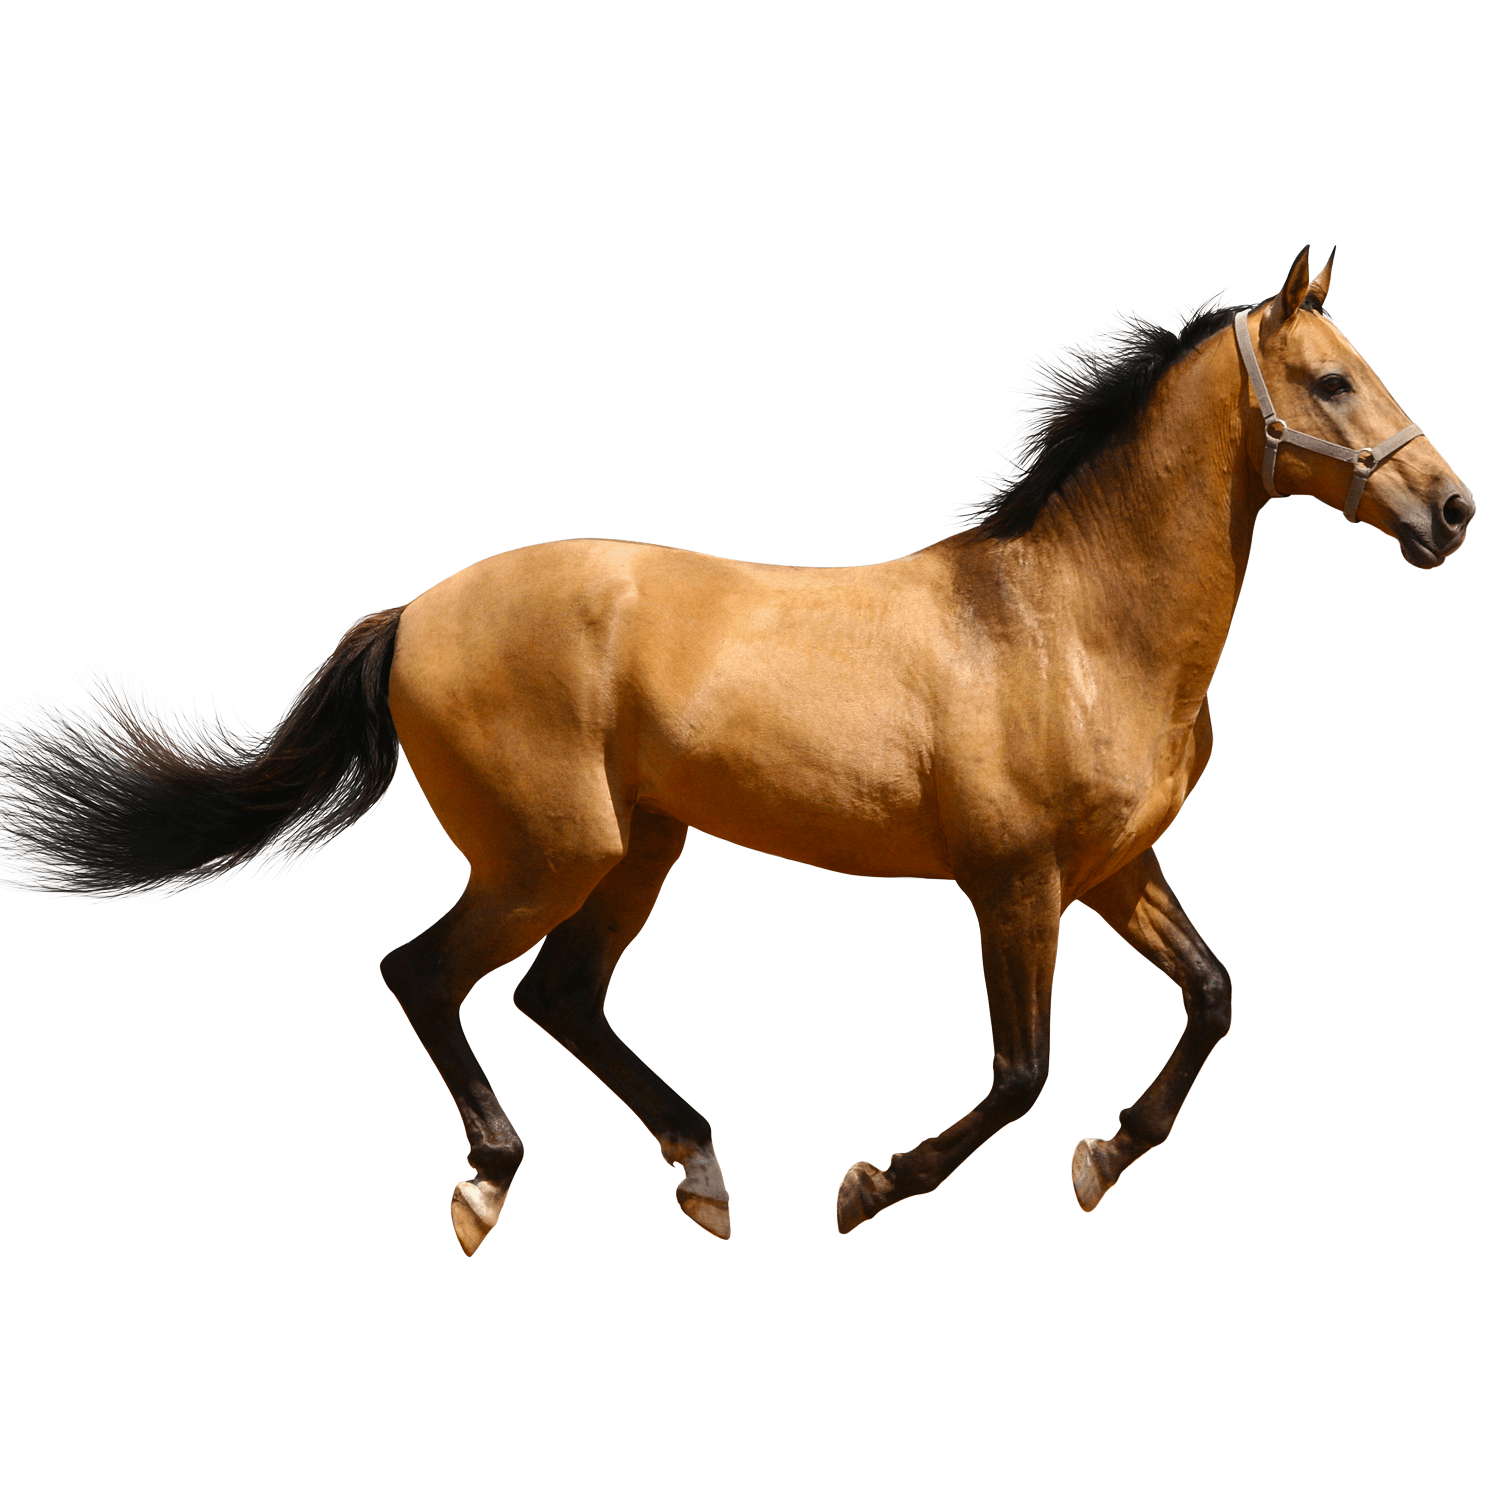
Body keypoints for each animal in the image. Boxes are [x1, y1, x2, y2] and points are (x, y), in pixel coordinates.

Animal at [0, 244, 1474, 1257]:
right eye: (1332, 379)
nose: (1452, 510)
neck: (1069, 622)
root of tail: (412, 611)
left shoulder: (1115, 871)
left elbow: (1213, 997)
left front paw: (1106, 1162)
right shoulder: (1013, 884)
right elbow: (1022, 1070)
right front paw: (872, 1187)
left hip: (640, 848)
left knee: (558, 996)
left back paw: (701, 1172)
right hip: (553, 850)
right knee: (425, 973)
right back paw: (488, 1183)